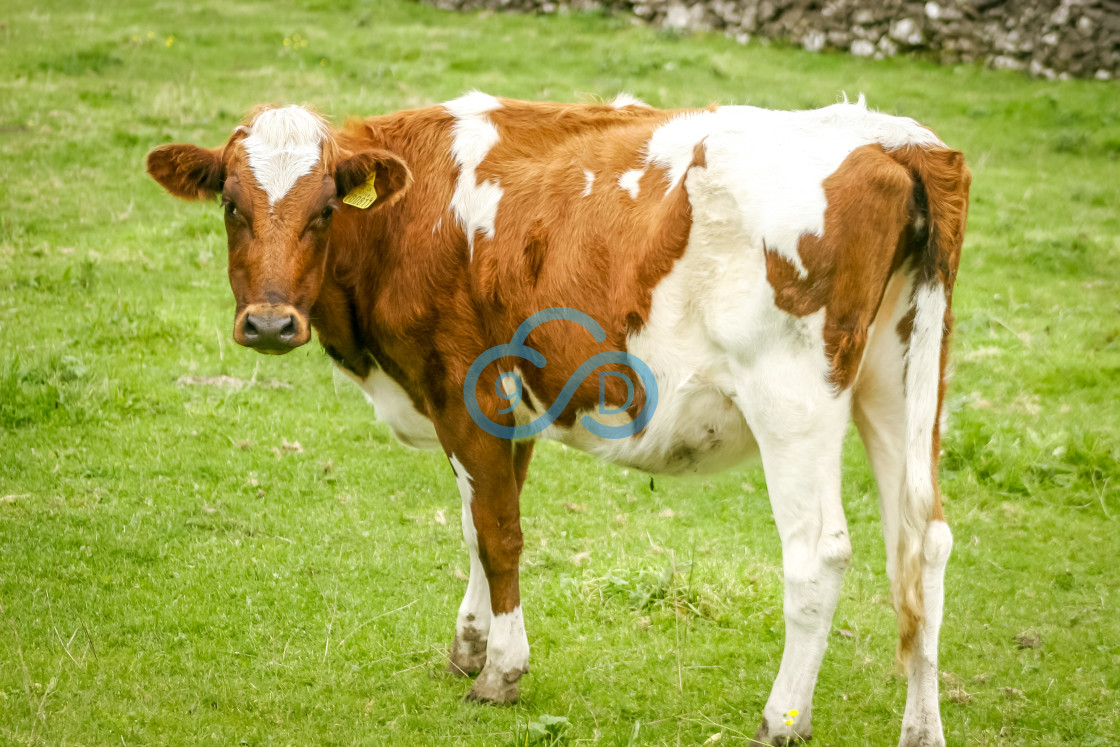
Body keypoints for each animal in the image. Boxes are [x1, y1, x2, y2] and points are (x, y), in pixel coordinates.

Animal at [146, 93, 972, 747]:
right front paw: (471, 643)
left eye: (322, 211)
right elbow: (478, 523)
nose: (270, 323)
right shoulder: (512, 401)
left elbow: (499, 532)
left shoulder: (466, 387)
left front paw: (500, 672)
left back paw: (781, 721)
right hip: (900, 378)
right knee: (922, 543)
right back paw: (921, 727)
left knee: (819, 554)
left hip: (793, 396)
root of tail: (891, 137)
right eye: (232, 205)